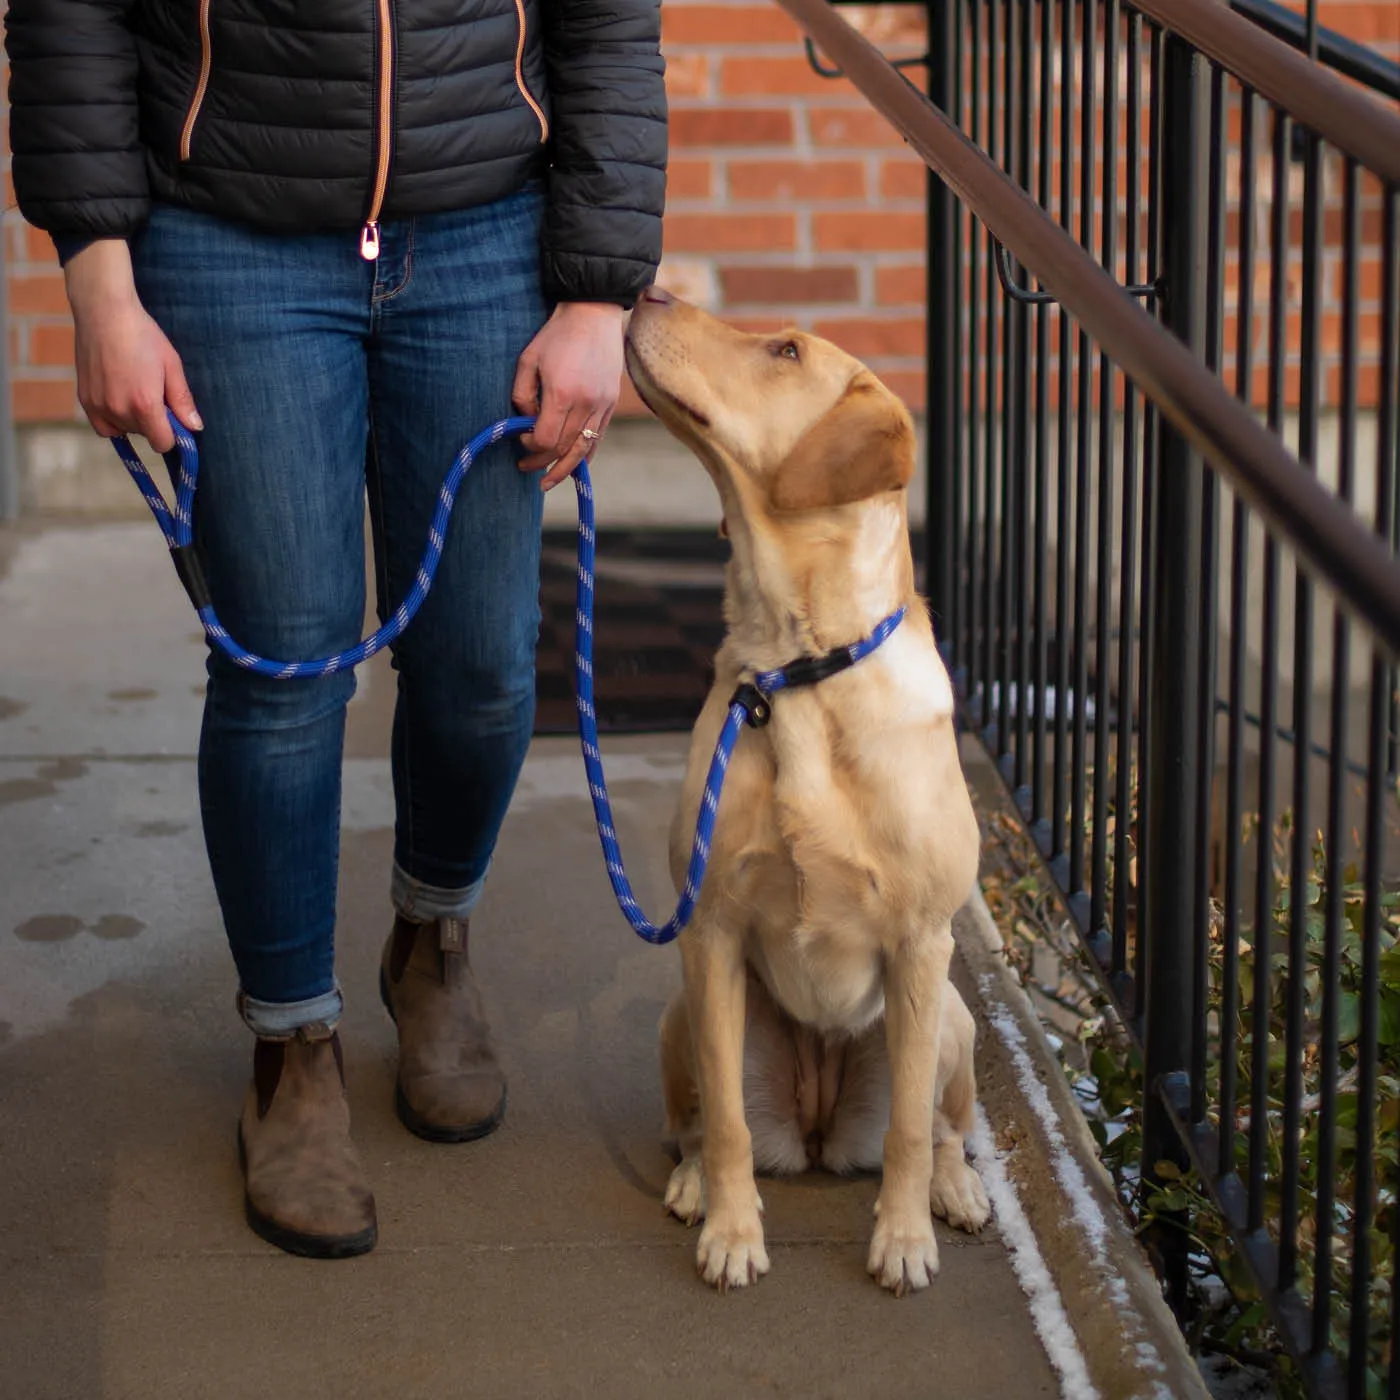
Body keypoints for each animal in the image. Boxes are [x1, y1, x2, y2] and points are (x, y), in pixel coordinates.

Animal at [624, 289, 985, 1293]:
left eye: (785, 351)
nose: (649, 290)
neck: (795, 666)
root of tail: (822, 1129)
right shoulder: (707, 929)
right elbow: (729, 1129)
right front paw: (733, 1232)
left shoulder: (920, 942)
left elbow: (907, 1134)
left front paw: (902, 1239)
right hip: (683, 1013)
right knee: (697, 1124)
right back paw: (694, 1184)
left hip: (950, 1017)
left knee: (941, 1125)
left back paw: (955, 1190)